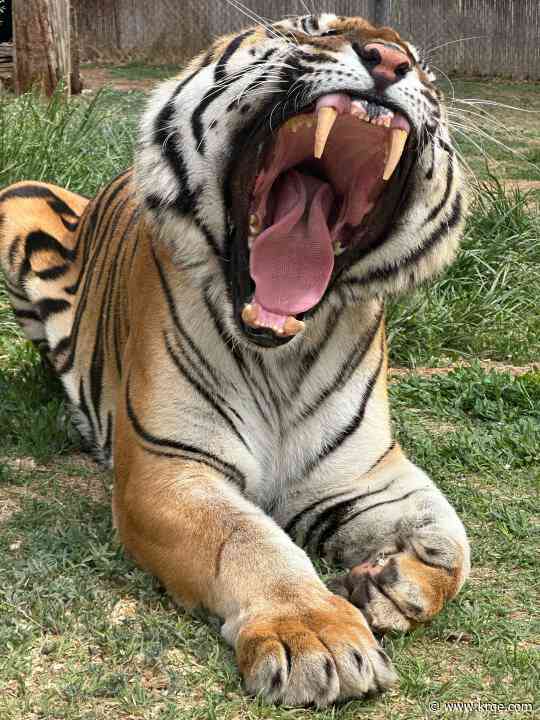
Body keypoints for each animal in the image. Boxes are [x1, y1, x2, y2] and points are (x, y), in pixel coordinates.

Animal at [0, 13, 470, 707]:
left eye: (426, 69)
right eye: (309, 27)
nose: (388, 59)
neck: (282, 356)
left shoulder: (364, 474)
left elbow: (451, 542)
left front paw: (389, 583)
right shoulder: (171, 469)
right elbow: (248, 541)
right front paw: (316, 634)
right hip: (19, 200)